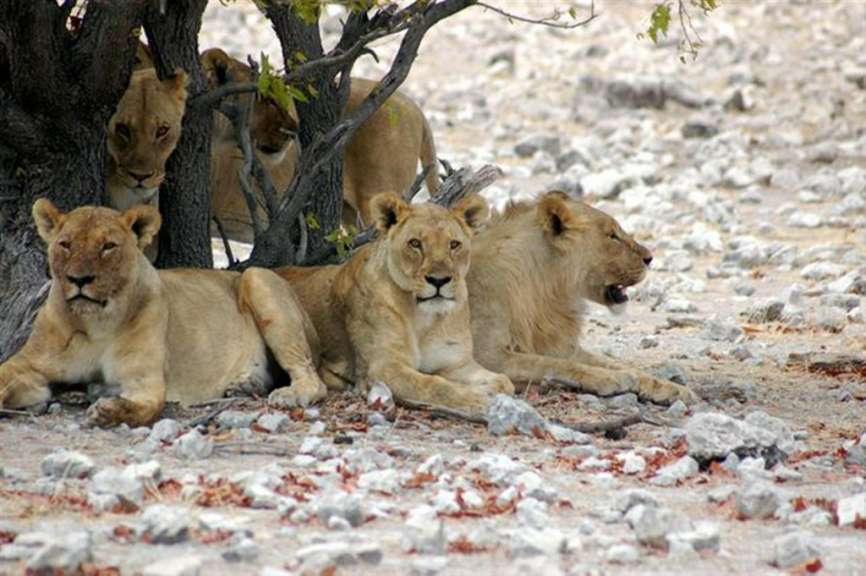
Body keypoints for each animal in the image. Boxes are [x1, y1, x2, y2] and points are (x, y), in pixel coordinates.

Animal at [0, 200, 326, 428]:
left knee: (313, 379)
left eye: (108, 246)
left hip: (257, 277)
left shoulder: (144, 382)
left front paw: (107, 410)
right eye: (65, 244)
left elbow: (144, 407)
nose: (79, 279)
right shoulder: (27, 364)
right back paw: (246, 384)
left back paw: (289, 394)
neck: (95, 324)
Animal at [275, 193, 512, 413]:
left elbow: (504, 381)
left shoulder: (456, 363)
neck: (423, 318)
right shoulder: (383, 367)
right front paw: (477, 399)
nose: (439, 280)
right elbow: (434, 385)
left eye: (454, 245)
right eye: (415, 243)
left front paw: (489, 389)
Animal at [467, 190, 698, 405]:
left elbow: (615, 362)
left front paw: (672, 388)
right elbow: (553, 364)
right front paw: (612, 378)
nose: (650, 258)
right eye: (612, 236)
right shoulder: (484, 354)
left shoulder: (560, 346)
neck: (546, 293)